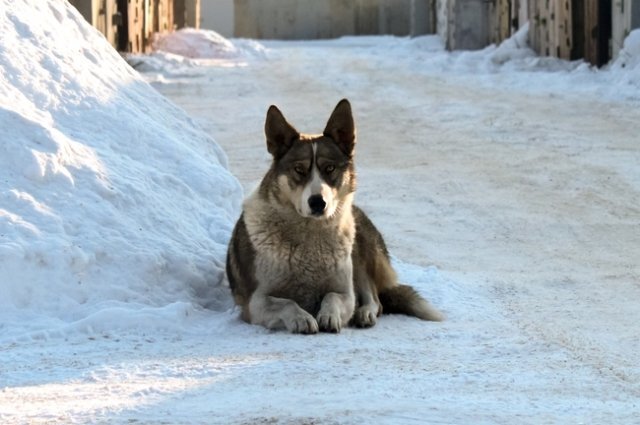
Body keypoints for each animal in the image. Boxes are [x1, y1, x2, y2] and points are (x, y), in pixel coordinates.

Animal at [228, 99, 442, 332]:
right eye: (299, 169)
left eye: (329, 168)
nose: (317, 202)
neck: (309, 241)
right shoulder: (255, 302)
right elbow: (287, 303)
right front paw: (302, 318)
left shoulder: (345, 292)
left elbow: (332, 296)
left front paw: (329, 316)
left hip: (360, 253)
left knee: (375, 299)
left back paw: (365, 314)